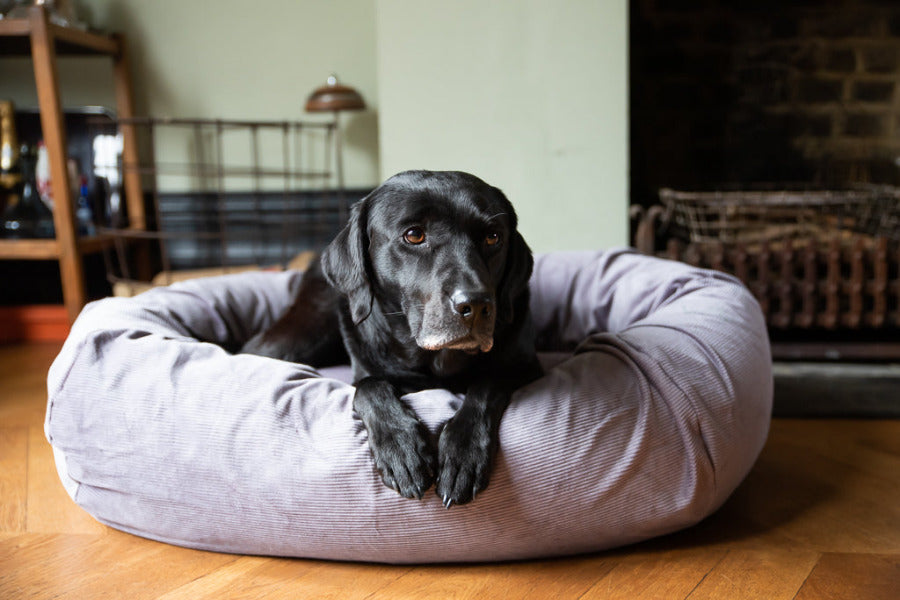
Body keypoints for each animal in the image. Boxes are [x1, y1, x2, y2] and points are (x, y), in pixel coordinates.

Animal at [243, 169, 540, 506]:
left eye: (493, 237)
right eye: (414, 235)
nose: (475, 305)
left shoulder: (524, 365)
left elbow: (487, 384)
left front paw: (464, 454)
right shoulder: (365, 372)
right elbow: (370, 387)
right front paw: (401, 448)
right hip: (300, 335)